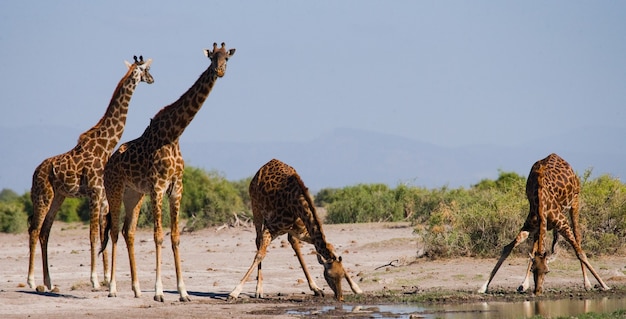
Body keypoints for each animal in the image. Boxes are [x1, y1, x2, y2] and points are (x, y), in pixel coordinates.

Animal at [26, 55, 154, 292]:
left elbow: (104, 232)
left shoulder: (102, 197)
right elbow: (94, 234)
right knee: (34, 229)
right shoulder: (94, 193)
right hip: (42, 195)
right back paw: (31, 280)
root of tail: (34, 173)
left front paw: (106, 278)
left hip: (58, 196)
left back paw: (49, 281)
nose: (152, 79)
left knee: (45, 231)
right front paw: (95, 279)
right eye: (146, 69)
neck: (105, 145)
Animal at [101, 42, 235, 302]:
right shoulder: (157, 187)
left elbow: (175, 237)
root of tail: (108, 162)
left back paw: (136, 289)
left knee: (128, 231)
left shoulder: (176, 188)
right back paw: (112, 288)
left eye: (227, 58)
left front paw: (183, 292)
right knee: (113, 230)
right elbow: (158, 236)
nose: (220, 71)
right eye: (212, 58)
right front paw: (159, 292)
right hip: (114, 190)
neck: (174, 135)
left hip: (134, 194)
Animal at [228, 159, 360, 302]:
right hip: (256, 208)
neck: (297, 205)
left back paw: (315, 288)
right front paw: (234, 292)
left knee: (293, 243)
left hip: (290, 230)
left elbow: (329, 246)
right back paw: (259, 290)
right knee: (258, 242)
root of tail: (263, 167)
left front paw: (356, 288)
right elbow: (260, 255)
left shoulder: (304, 232)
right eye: (329, 276)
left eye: (342, 275)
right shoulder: (270, 228)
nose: (340, 297)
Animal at [476, 154, 608, 296]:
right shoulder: (530, 225)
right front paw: (483, 287)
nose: (538, 291)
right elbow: (508, 248)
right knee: (535, 246)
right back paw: (524, 284)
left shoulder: (563, 224)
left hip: (575, 201)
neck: (541, 201)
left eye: (547, 271)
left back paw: (587, 283)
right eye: (533, 270)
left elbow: (580, 253)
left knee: (578, 238)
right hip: (540, 226)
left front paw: (604, 286)